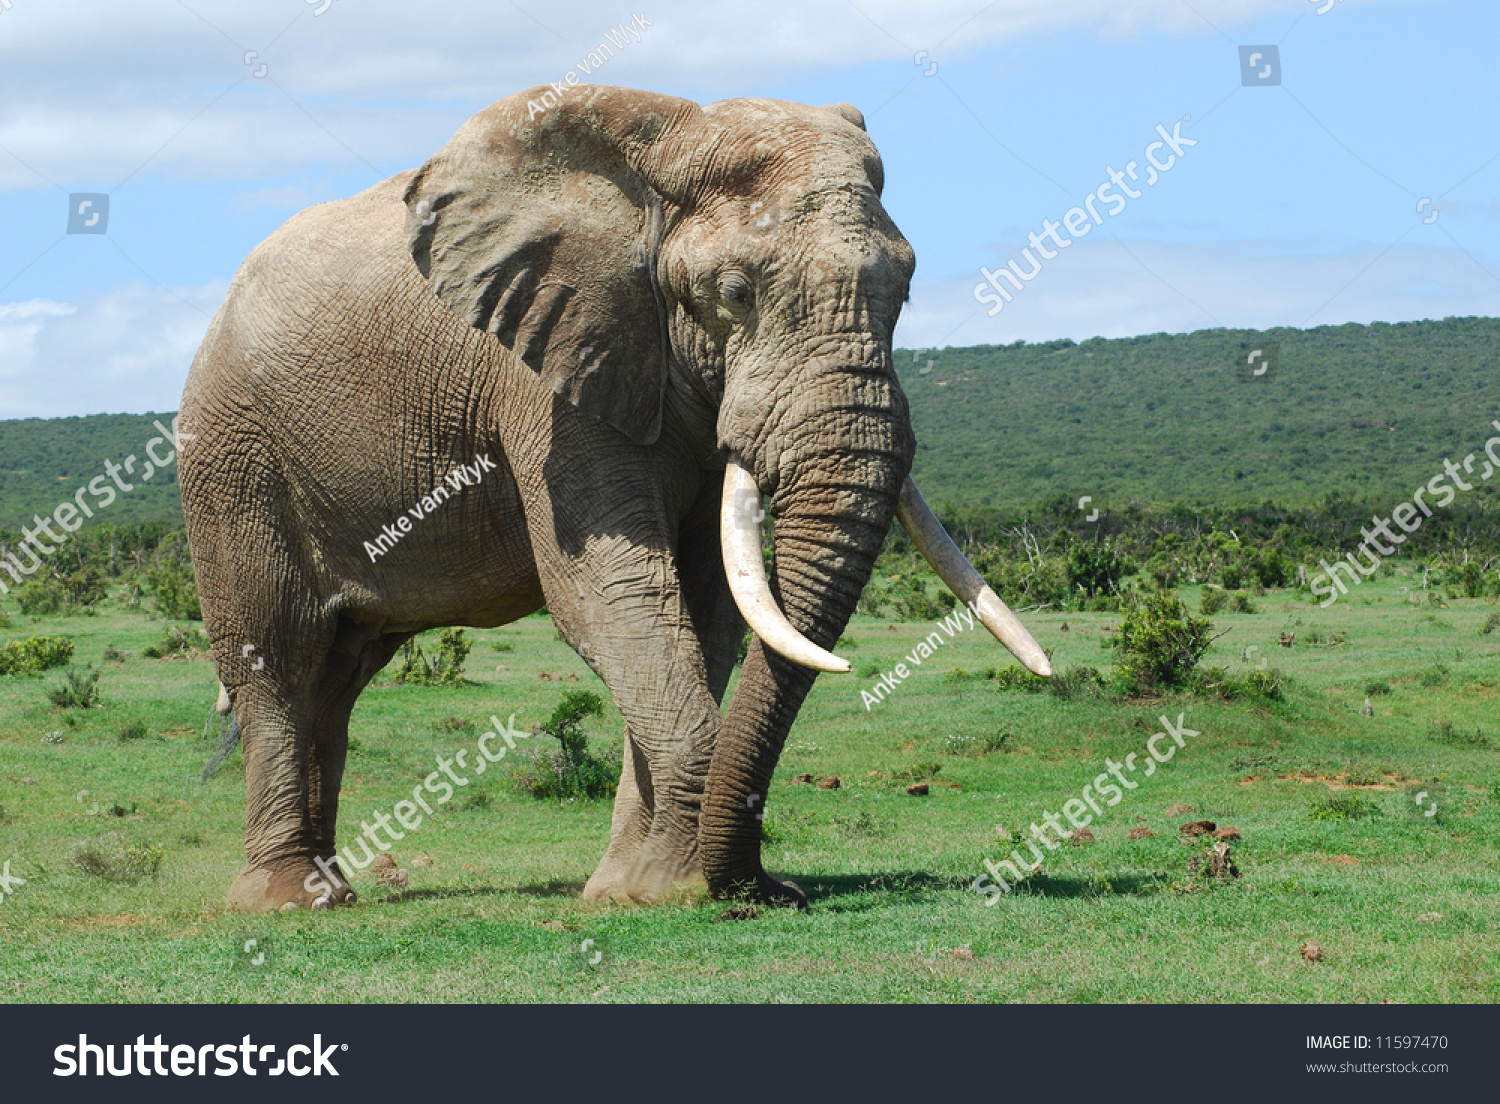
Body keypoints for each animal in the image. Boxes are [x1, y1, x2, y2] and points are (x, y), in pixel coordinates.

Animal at [181, 84, 1050, 912]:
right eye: (735, 293)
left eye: (905, 288)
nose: (772, 892)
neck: (663, 152)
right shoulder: (549, 377)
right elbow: (613, 593)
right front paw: (679, 889)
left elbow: (703, 606)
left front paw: (646, 890)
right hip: (232, 457)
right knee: (280, 657)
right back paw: (286, 903)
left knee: (341, 676)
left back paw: (328, 890)